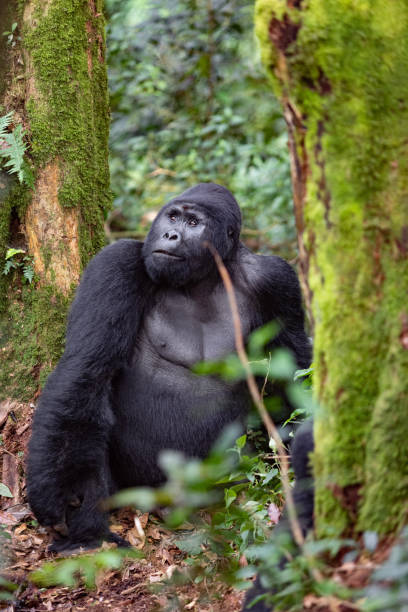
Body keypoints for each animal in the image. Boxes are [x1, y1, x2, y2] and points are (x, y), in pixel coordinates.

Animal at [27, 184, 310, 552]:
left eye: (193, 222)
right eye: (173, 217)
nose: (170, 235)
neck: (204, 277)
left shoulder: (277, 280)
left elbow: (294, 373)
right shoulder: (115, 263)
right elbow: (86, 369)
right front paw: (59, 494)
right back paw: (89, 534)